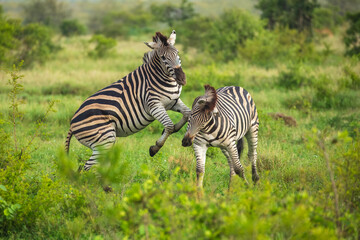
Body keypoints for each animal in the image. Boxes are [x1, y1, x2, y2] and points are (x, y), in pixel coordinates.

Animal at [66, 31, 193, 171]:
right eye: (163, 57)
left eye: (178, 53)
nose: (182, 79)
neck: (161, 78)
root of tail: (72, 123)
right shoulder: (154, 106)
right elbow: (169, 126)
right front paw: (154, 148)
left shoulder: (173, 101)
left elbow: (187, 114)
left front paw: (179, 131)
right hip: (104, 139)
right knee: (87, 168)